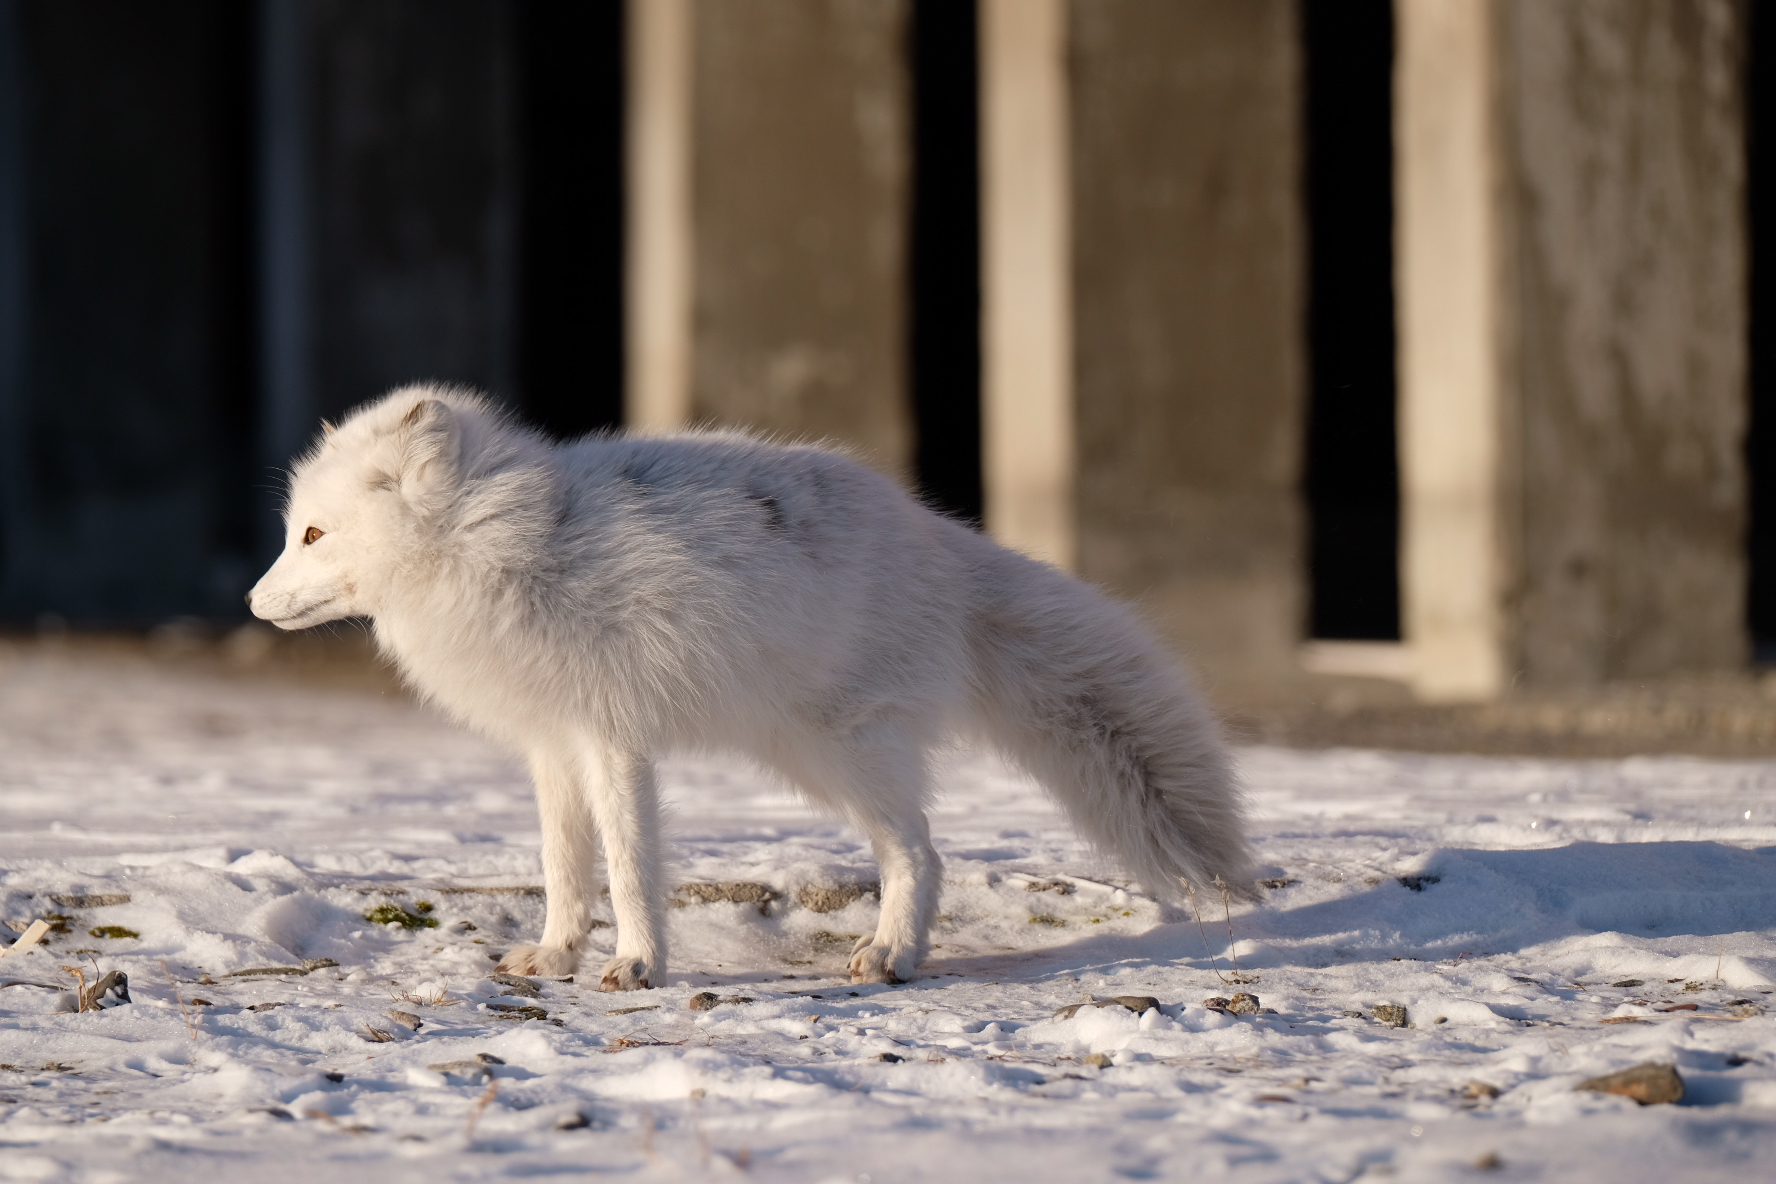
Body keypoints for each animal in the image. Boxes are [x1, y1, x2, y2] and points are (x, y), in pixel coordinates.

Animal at [250, 386, 1257, 994]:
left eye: (312, 535)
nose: (255, 604)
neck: (505, 543)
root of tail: (939, 537)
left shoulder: (613, 737)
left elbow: (629, 866)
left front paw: (639, 965)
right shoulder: (552, 745)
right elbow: (564, 866)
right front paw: (558, 951)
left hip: (837, 754)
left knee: (922, 853)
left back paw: (893, 953)